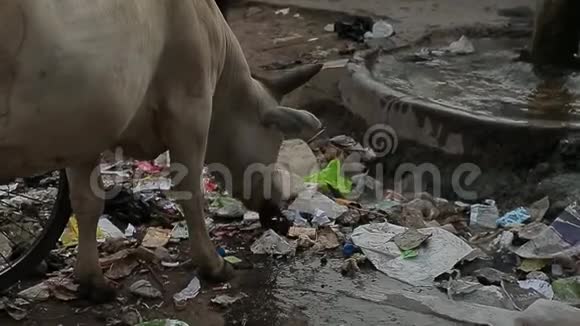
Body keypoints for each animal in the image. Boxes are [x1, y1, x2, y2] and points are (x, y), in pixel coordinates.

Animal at [0, 0, 322, 300]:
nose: (278, 203)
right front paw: (213, 264)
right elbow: (190, 192)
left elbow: (87, 202)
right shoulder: (190, 108)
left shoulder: (86, 130)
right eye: (277, 141)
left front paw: (93, 281)